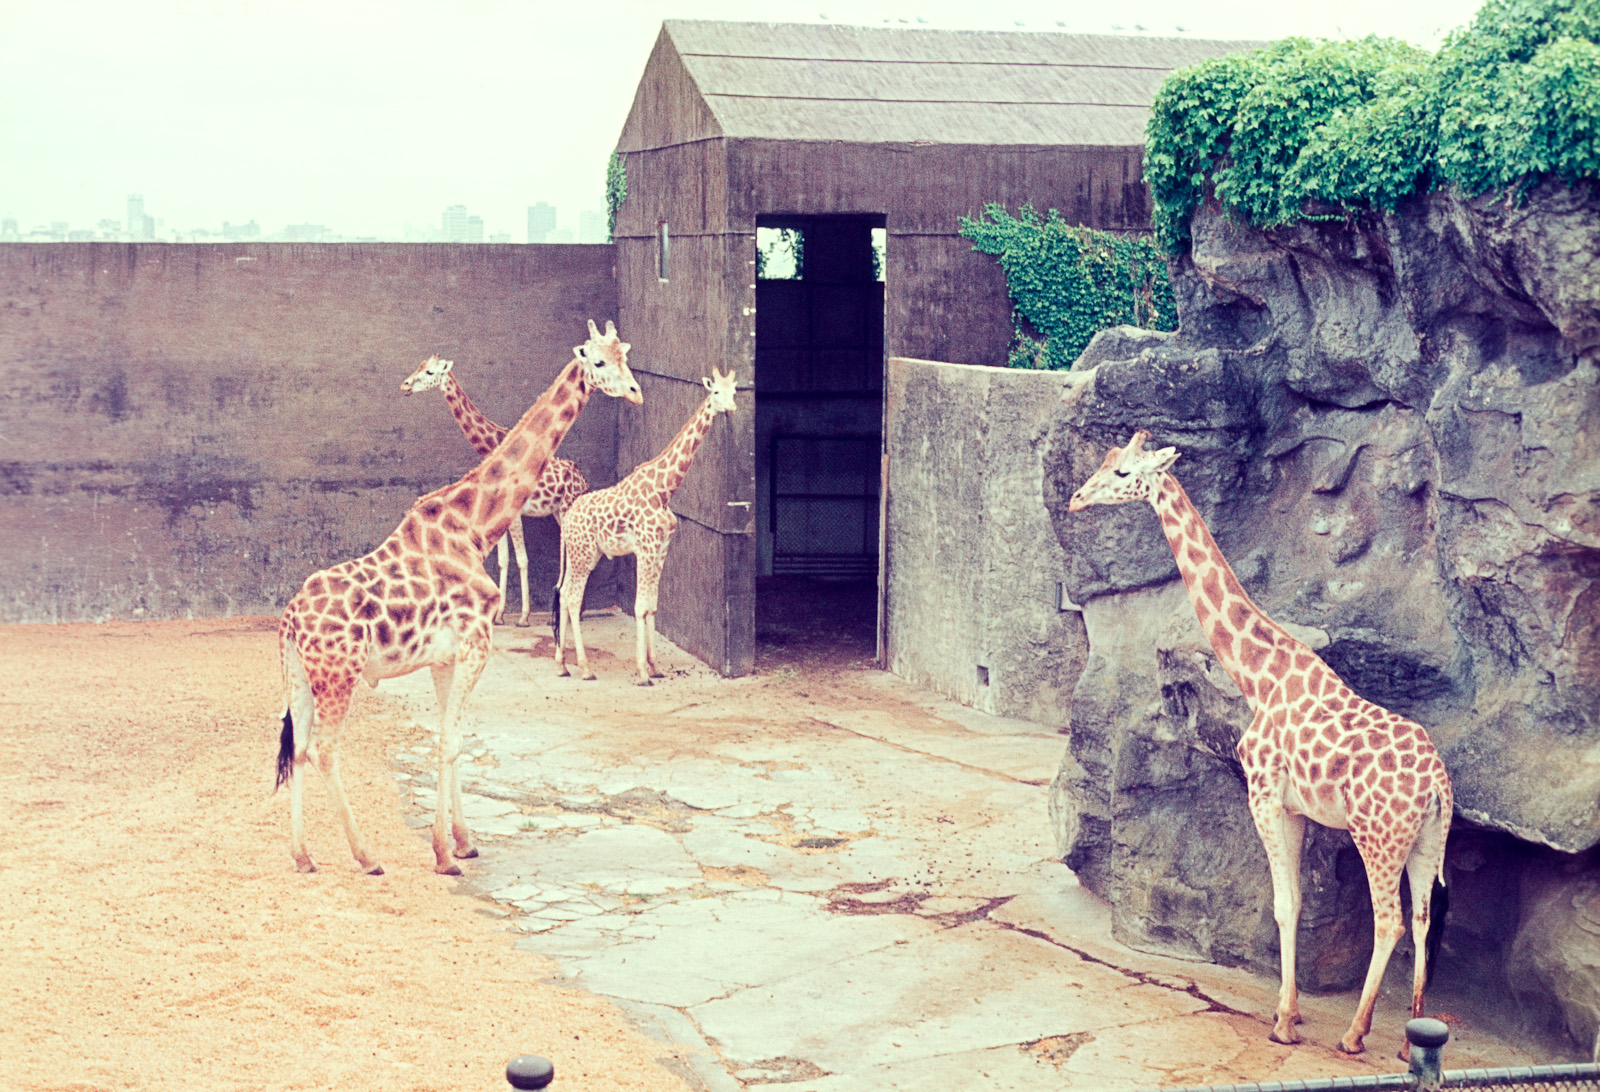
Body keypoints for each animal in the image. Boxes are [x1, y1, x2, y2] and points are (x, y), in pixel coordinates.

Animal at [400, 354, 589, 627]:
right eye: (419, 366)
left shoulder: (516, 513)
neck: (495, 444)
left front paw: (523, 617)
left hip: (566, 508)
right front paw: (499, 615)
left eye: (429, 372)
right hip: (557, 512)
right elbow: (503, 561)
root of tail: (585, 481)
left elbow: (522, 559)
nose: (405, 385)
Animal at [553, 368, 738, 685]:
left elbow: (651, 606)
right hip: (583, 554)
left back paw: (563, 664)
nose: (733, 407)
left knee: (565, 594)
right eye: (716, 392)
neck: (664, 490)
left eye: (734, 391)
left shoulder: (661, 549)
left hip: (585, 555)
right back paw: (586, 668)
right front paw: (641, 672)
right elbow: (639, 607)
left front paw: (655, 666)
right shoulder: (646, 548)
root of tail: (567, 519)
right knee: (573, 598)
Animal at [1068, 430, 1452, 1058]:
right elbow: (1293, 903)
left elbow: (1283, 904)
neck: (1257, 676)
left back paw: (1355, 1033)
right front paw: (1288, 1013)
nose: (1076, 500)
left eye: (1122, 471)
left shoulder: (1265, 795)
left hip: (1378, 835)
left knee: (1391, 920)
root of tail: (1439, 784)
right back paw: (1409, 1037)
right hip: (1425, 838)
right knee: (1421, 917)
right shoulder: (1295, 809)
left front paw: (1284, 1021)